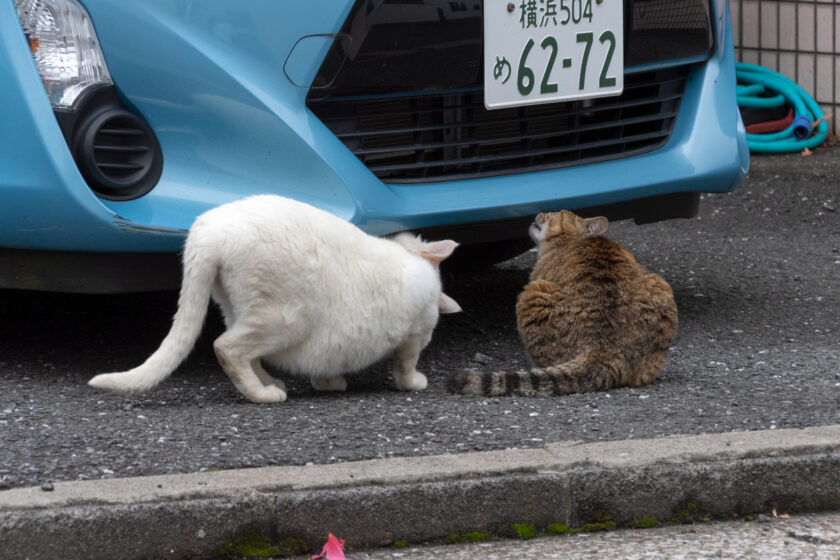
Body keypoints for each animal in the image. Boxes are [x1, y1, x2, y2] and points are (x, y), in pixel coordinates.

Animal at [90, 196, 460, 402]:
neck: (410, 259)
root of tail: (208, 234)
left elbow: (328, 366)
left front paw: (329, 383)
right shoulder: (416, 334)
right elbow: (405, 366)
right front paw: (414, 383)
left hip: (239, 310)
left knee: (246, 352)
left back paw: (268, 383)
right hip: (283, 319)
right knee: (226, 348)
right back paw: (263, 395)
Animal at [446, 211, 676, 398]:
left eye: (552, 213)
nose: (539, 212)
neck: (570, 240)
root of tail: (603, 351)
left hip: (531, 294)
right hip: (661, 286)